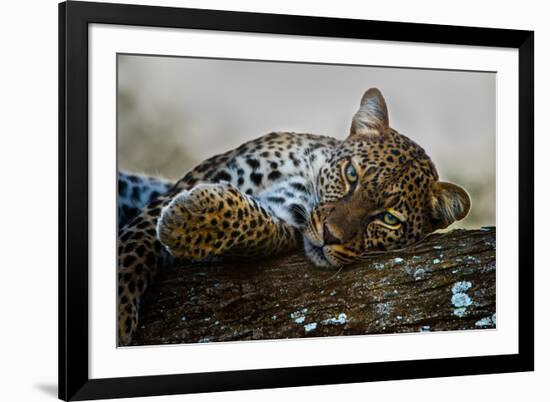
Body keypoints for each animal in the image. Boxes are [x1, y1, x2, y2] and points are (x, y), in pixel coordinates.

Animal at [118, 88, 472, 346]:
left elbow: (257, 225)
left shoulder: (285, 220)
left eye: (389, 219)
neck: (305, 175)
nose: (331, 236)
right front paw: (120, 316)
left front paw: (188, 220)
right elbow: (134, 248)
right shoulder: (186, 185)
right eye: (351, 174)